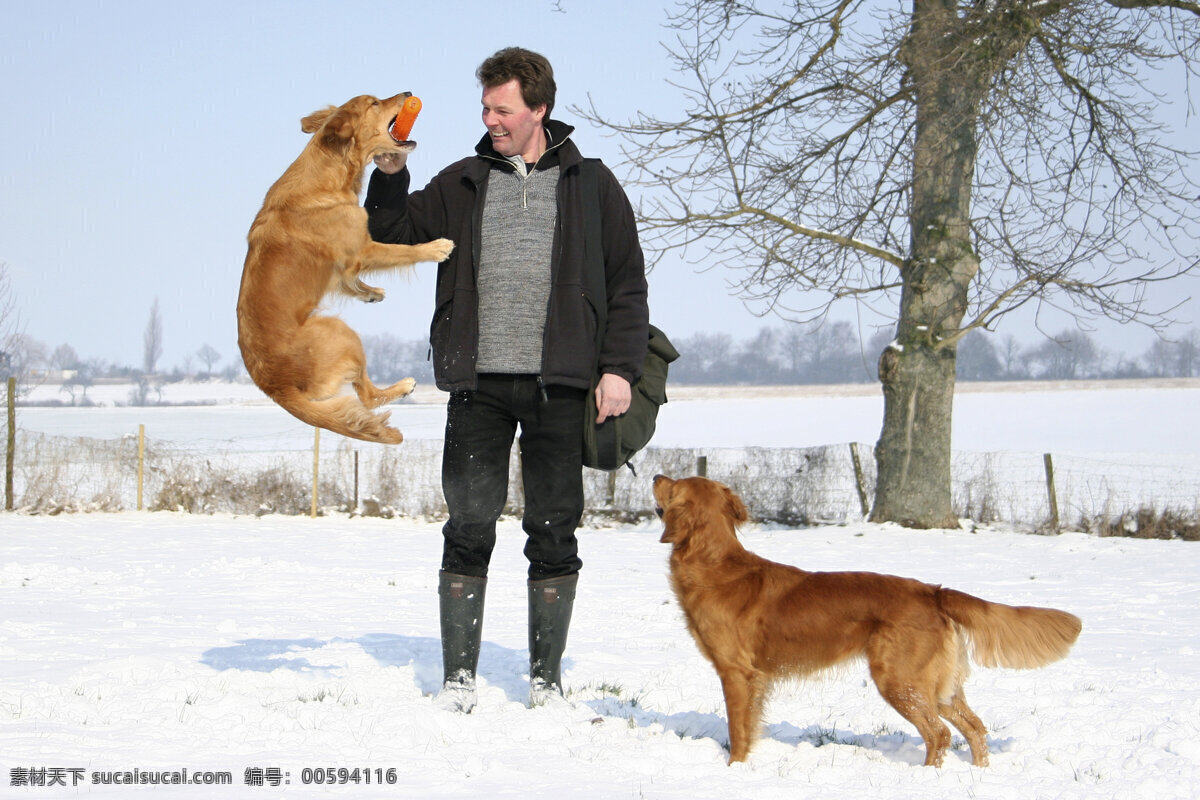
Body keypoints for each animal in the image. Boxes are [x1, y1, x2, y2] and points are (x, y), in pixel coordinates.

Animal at [236, 95, 451, 443]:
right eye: (374, 102)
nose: (408, 93)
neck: (328, 175)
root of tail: (276, 388)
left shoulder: (347, 261)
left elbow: (349, 281)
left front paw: (370, 293)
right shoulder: (362, 248)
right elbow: (403, 251)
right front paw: (435, 248)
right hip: (341, 333)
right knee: (367, 396)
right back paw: (404, 385)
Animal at [652, 474, 1084, 767]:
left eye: (673, 485)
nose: (655, 475)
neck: (716, 563)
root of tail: (933, 591)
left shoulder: (736, 672)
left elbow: (738, 730)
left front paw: (735, 768)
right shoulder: (756, 678)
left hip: (900, 680)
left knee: (940, 733)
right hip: (939, 687)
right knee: (974, 728)